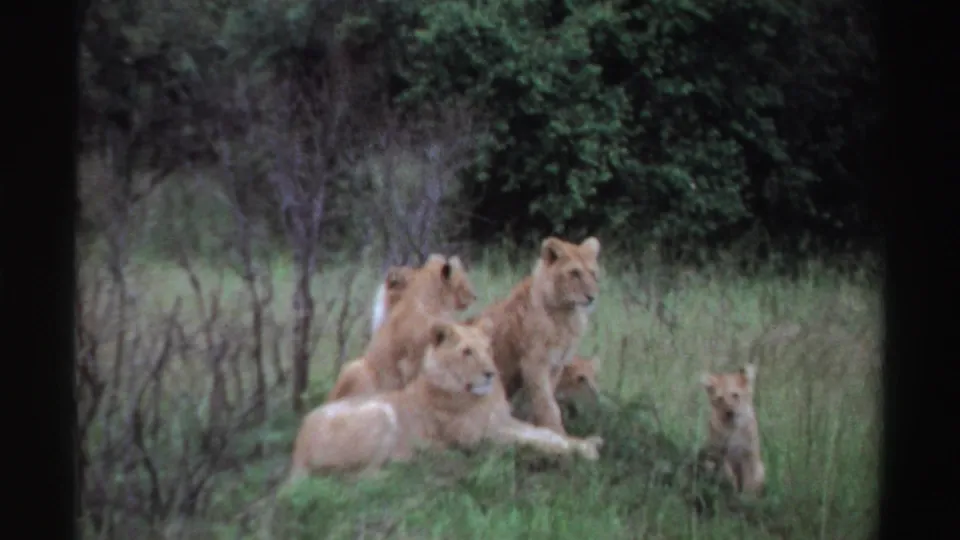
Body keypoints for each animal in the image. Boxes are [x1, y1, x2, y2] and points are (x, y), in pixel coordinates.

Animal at [288, 317, 605, 481]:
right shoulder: (480, 438)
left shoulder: (504, 421)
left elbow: (545, 433)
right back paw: (420, 460)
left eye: (487, 349)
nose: (490, 373)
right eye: (466, 352)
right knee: (359, 476)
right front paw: (583, 451)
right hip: (381, 412)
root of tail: (298, 446)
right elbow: (533, 441)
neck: (481, 397)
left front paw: (586, 442)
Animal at [471, 236, 601, 435]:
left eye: (593, 274)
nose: (592, 297)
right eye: (575, 273)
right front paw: (557, 433)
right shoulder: (534, 364)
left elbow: (545, 401)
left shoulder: (556, 365)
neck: (566, 315)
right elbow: (547, 405)